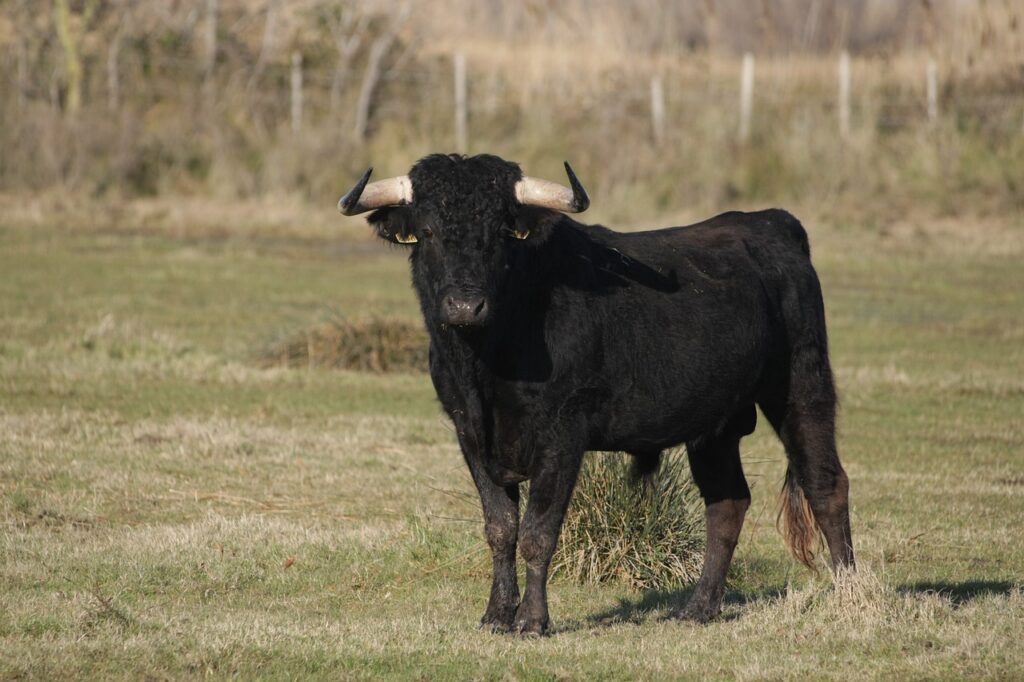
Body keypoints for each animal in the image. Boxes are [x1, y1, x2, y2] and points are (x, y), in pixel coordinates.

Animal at [337, 153, 855, 635]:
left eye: (501, 233)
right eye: (427, 231)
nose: (465, 306)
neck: (485, 360)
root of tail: (771, 221)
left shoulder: (563, 434)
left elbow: (538, 531)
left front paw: (532, 621)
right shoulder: (470, 432)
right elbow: (500, 528)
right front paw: (496, 615)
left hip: (802, 387)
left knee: (826, 484)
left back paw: (848, 594)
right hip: (716, 425)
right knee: (727, 502)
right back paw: (699, 608)